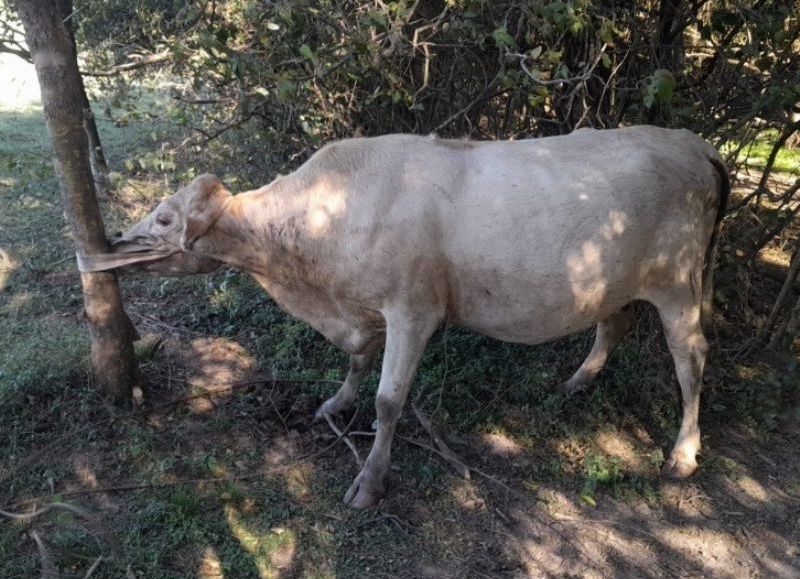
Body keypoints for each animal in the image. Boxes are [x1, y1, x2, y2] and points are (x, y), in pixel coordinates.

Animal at [90, 126, 729, 508]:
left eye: (165, 218)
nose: (114, 242)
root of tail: (693, 143)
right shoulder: (362, 306)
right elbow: (355, 361)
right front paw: (334, 404)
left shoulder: (413, 308)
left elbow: (388, 401)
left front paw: (369, 481)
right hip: (617, 281)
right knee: (613, 324)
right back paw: (578, 380)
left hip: (677, 281)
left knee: (692, 357)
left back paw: (683, 455)